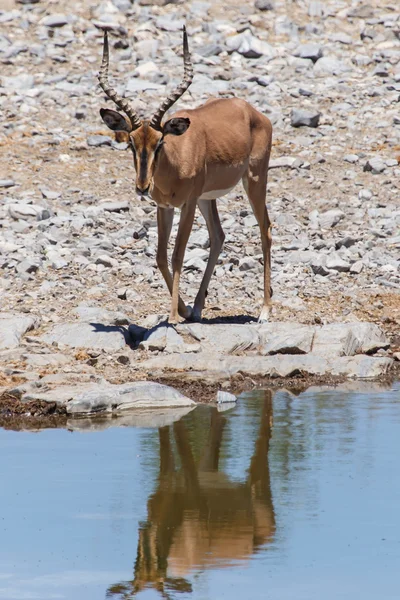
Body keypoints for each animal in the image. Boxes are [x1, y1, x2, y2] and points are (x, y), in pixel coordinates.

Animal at [97, 27, 274, 324]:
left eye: (160, 142)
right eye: (131, 142)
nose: (142, 186)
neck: (175, 164)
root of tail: (252, 111)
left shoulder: (187, 204)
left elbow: (178, 255)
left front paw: (172, 317)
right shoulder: (164, 206)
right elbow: (160, 256)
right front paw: (182, 309)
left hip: (254, 181)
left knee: (266, 230)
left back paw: (265, 310)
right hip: (207, 198)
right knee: (218, 236)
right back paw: (198, 308)